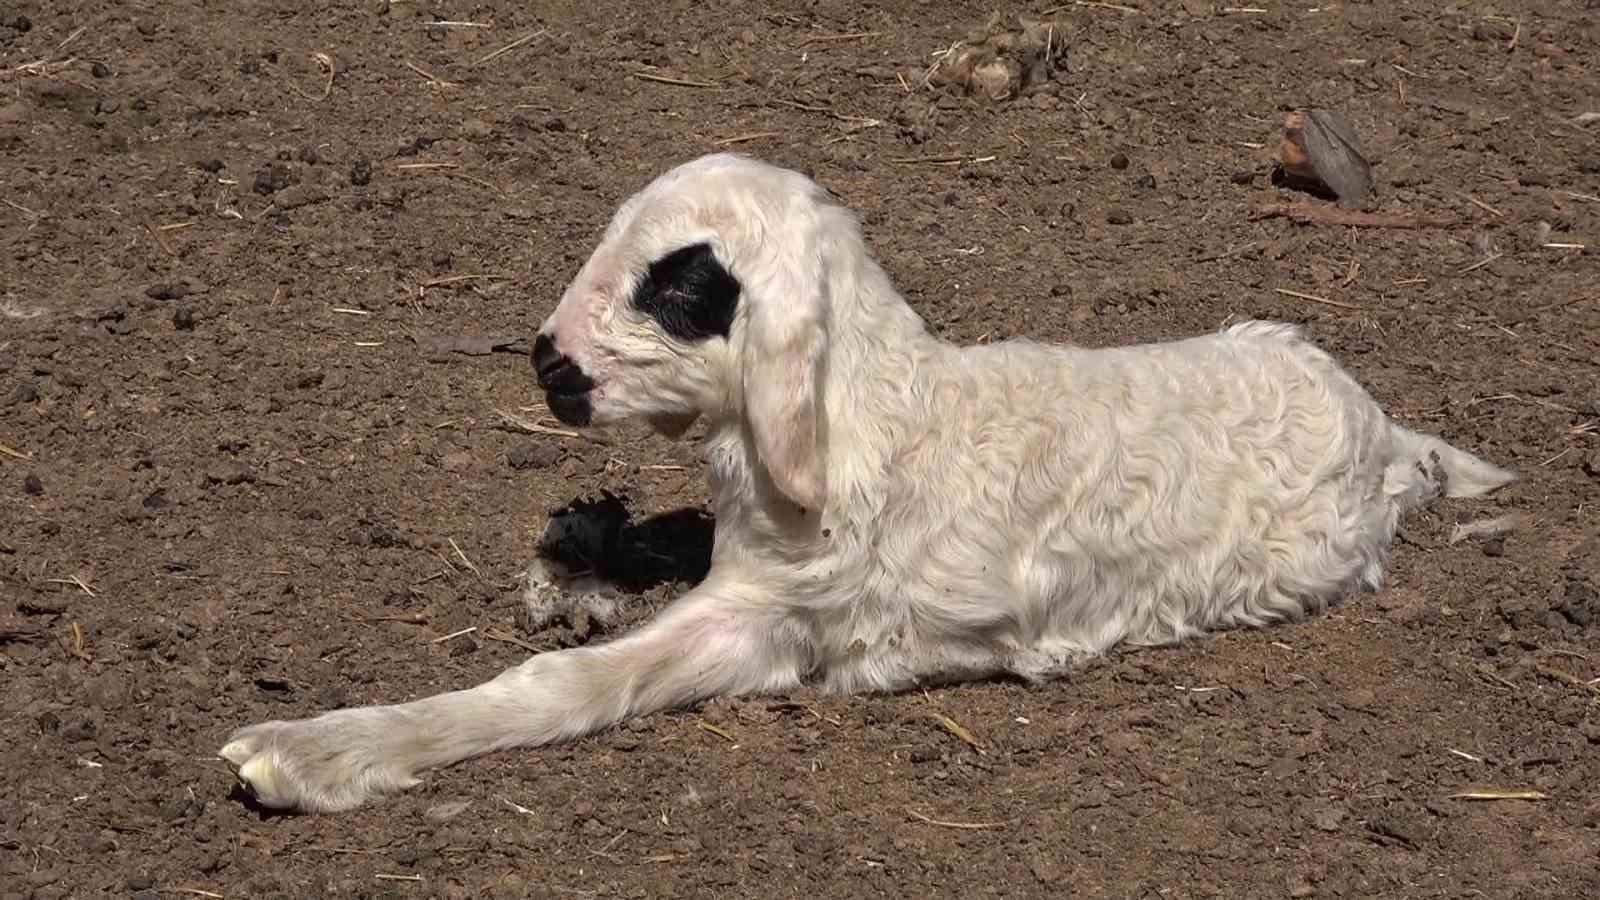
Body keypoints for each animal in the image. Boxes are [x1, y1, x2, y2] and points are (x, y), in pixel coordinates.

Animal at [216, 150, 1510, 810]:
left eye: (681, 282)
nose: (548, 366)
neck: (882, 420)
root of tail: (1377, 423)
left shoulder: (785, 618)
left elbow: (565, 685)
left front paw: (313, 755)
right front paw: (577, 554)